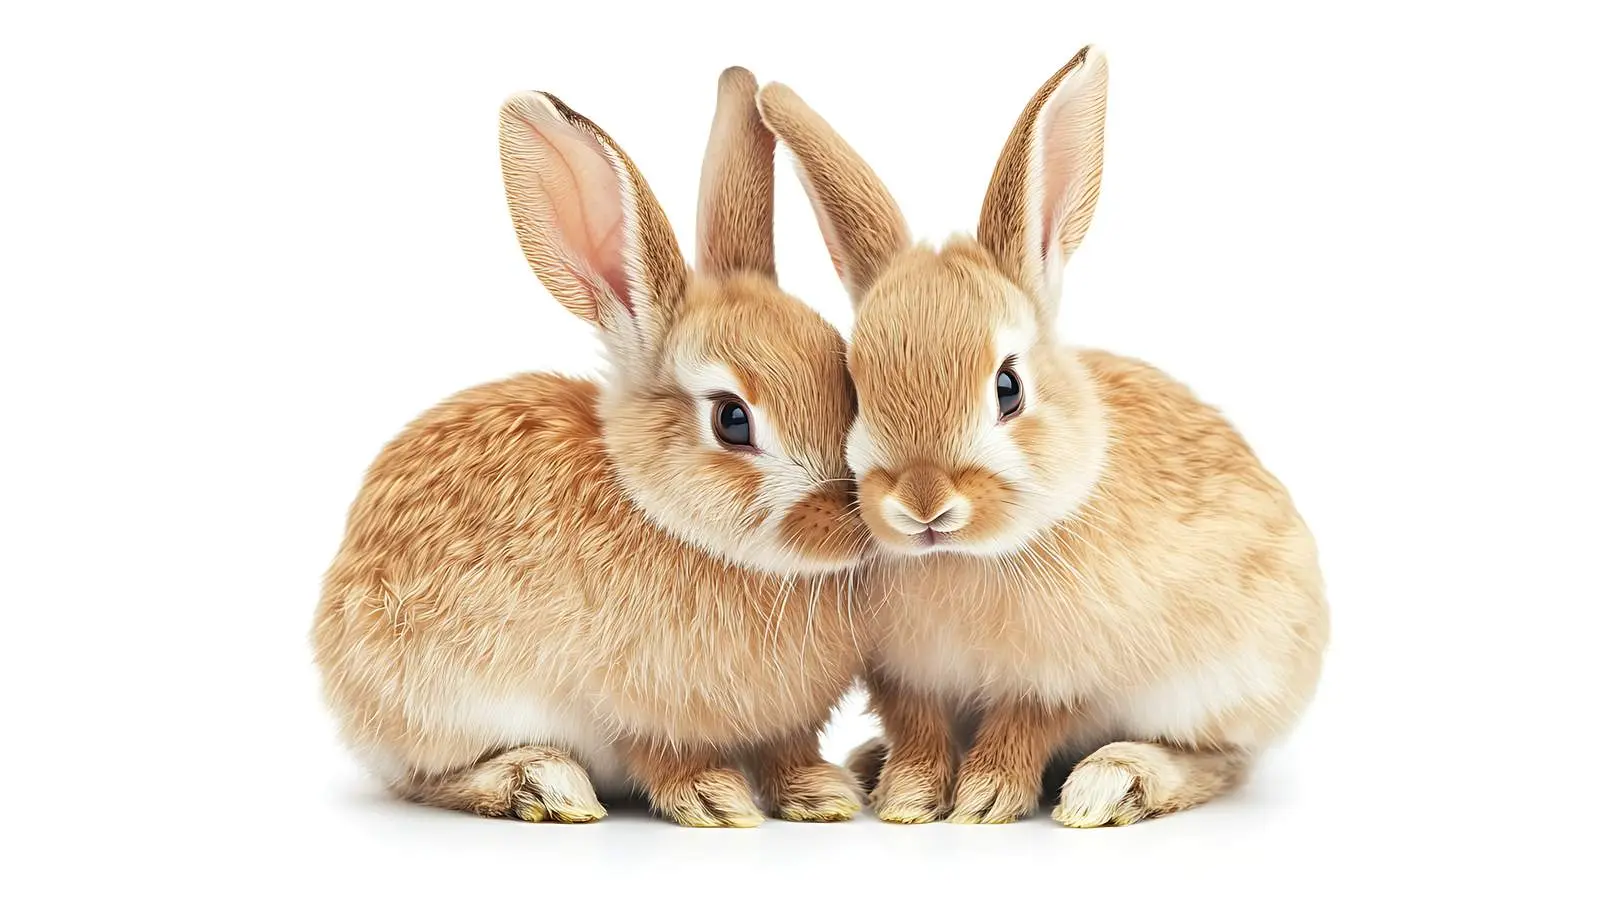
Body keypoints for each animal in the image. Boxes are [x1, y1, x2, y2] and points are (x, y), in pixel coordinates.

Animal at [311, 68, 874, 828]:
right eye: (732, 420)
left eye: (845, 375)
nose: (854, 522)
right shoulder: (636, 710)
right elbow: (664, 757)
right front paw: (714, 799)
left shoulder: (784, 726)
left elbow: (788, 751)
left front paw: (822, 793)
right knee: (427, 780)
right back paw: (541, 783)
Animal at [757, 45, 1329, 827]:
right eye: (856, 388)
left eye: (1009, 387)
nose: (923, 505)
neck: (965, 556)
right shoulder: (905, 680)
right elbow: (920, 731)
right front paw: (908, 796)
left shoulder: (1061, 680)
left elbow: (1023, 727)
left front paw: (985, 799)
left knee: (1222, 761)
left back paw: (1113, 782)